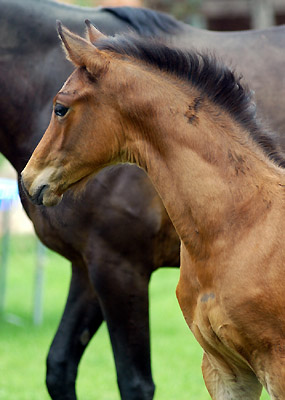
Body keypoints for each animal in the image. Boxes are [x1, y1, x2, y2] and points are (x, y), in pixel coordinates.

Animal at [1, 1, 284, 398]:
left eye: (60, 107)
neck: (242, 221)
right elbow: (60, 365)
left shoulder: (120, 266)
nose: (29, 180)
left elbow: (134, 381)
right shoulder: (224, 367)